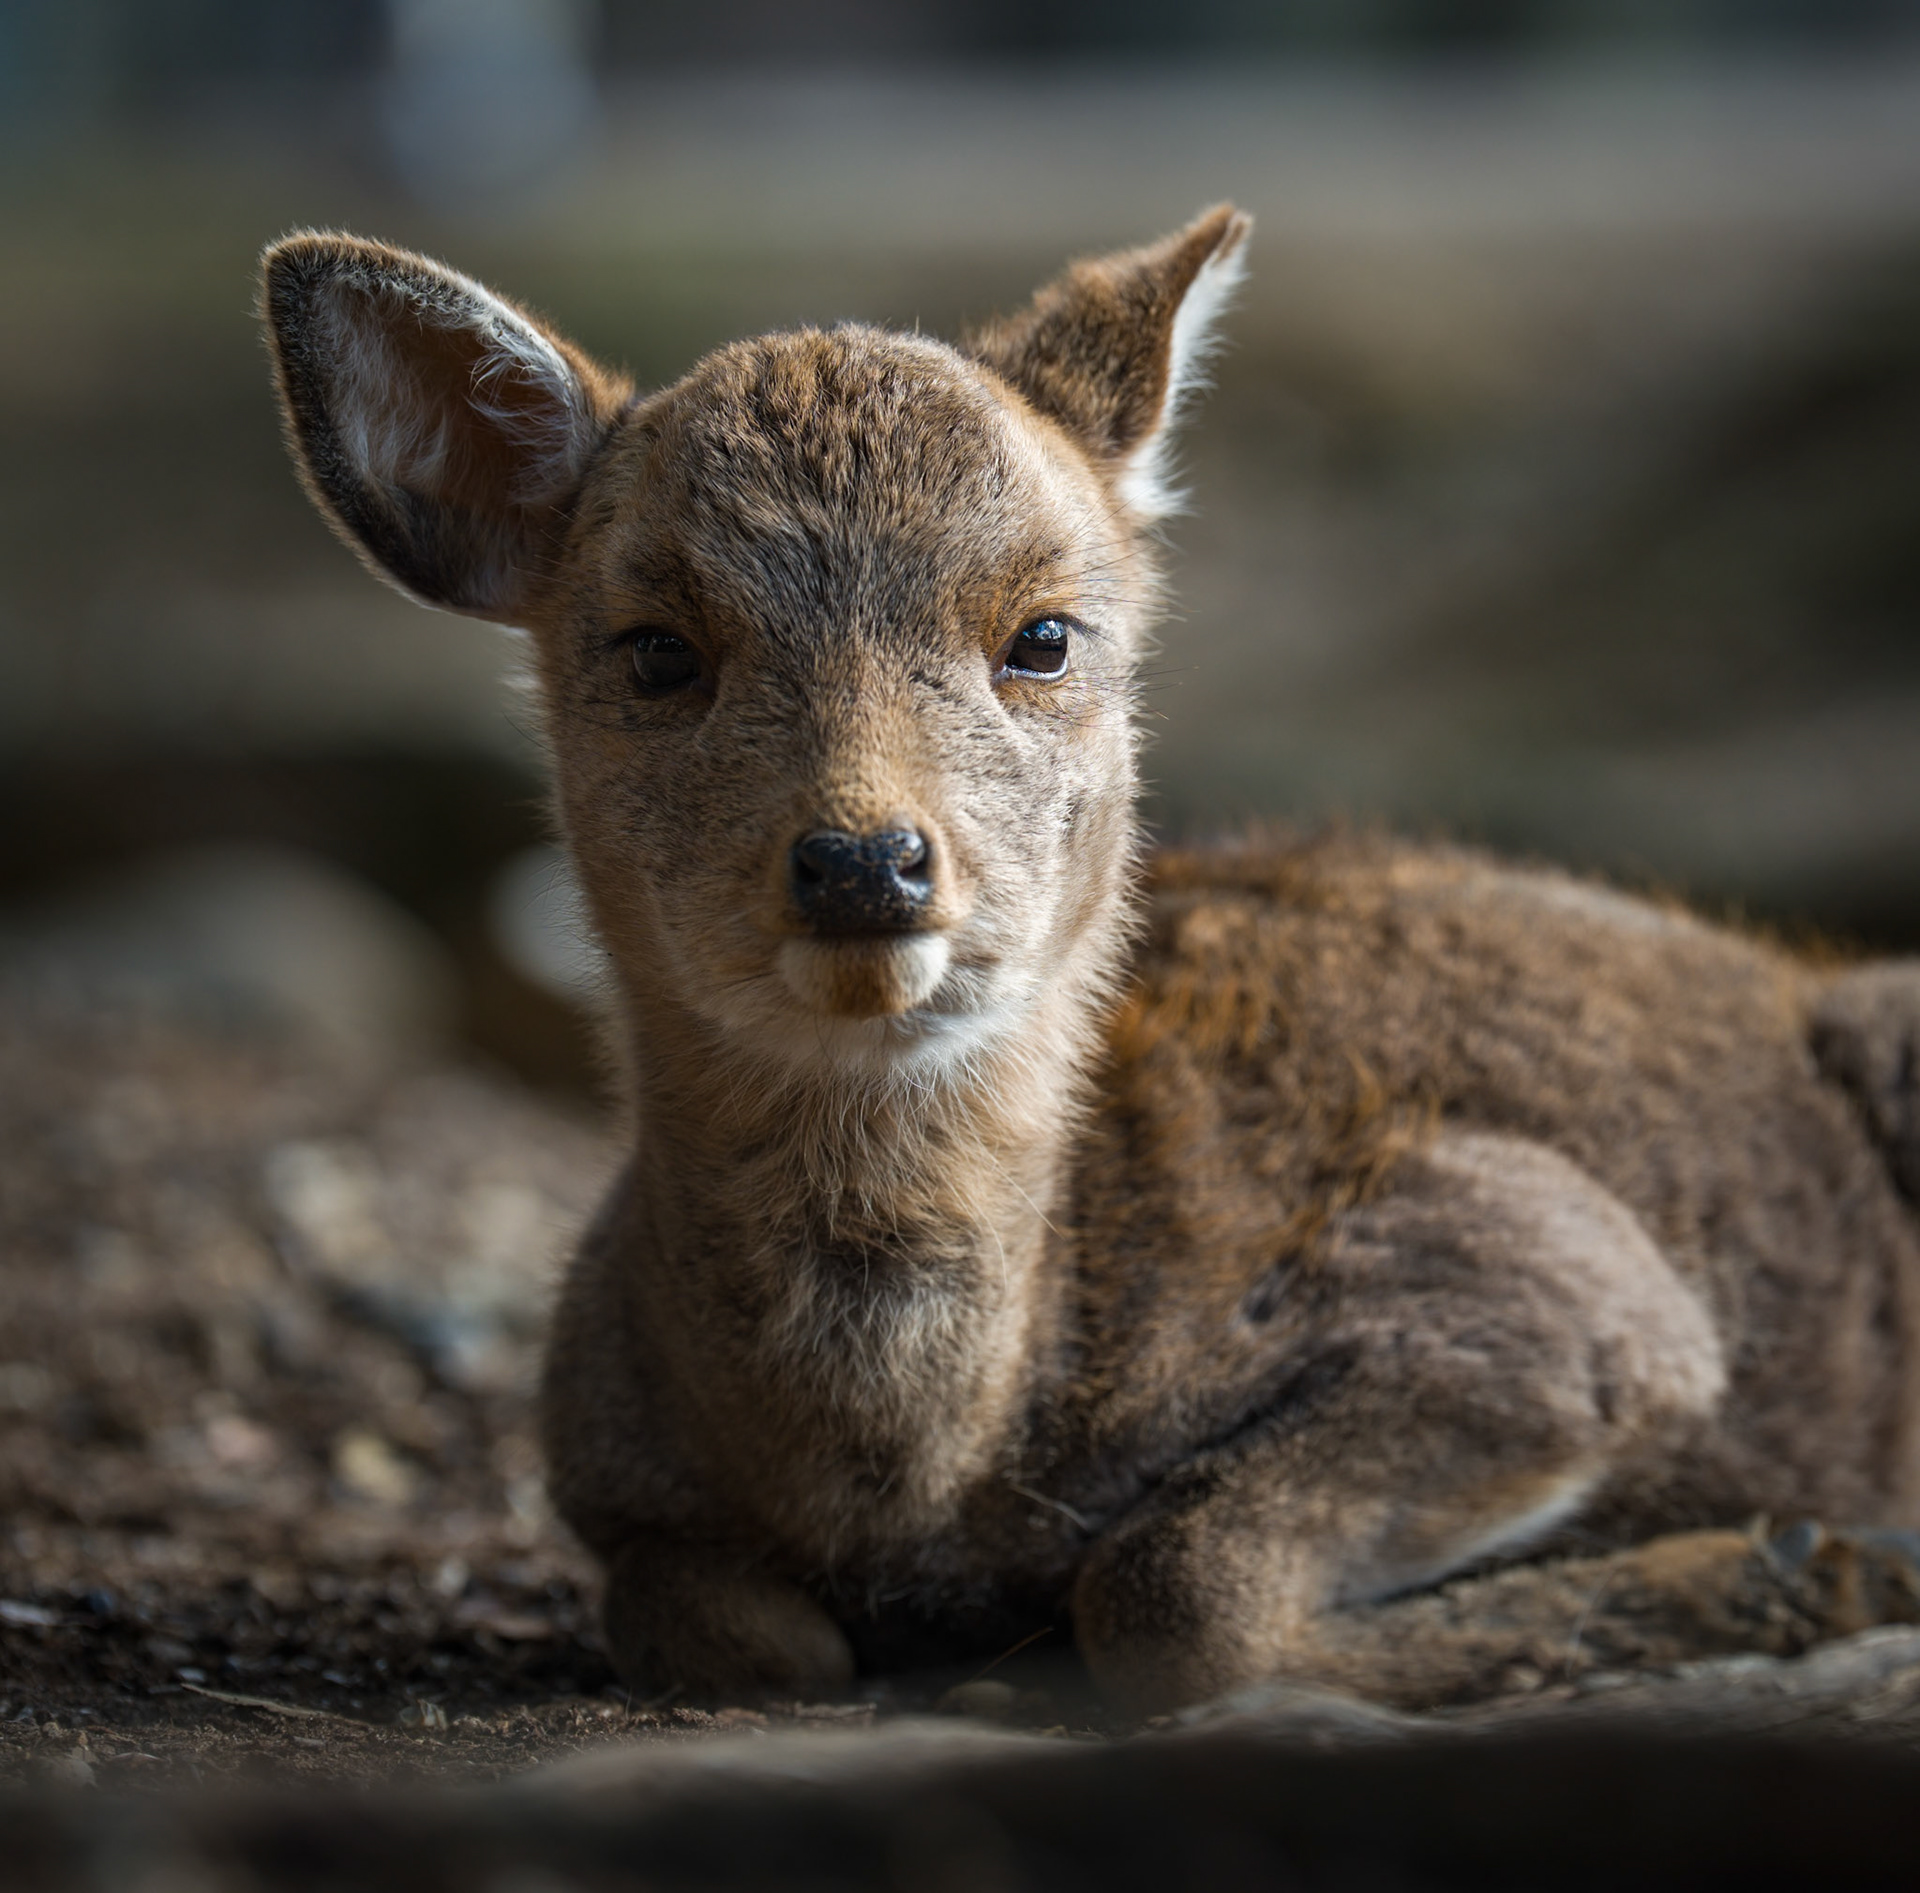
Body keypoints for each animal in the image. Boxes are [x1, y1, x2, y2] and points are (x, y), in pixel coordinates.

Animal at [261, 207, 1920, 1716]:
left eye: (1045, 636)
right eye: (658, 648)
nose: (865, 858)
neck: (925, 1478)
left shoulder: (1560, 1280)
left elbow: (1174, 1588)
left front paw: (1787, 1566)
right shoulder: (605, 1478)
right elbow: (742, 1635)